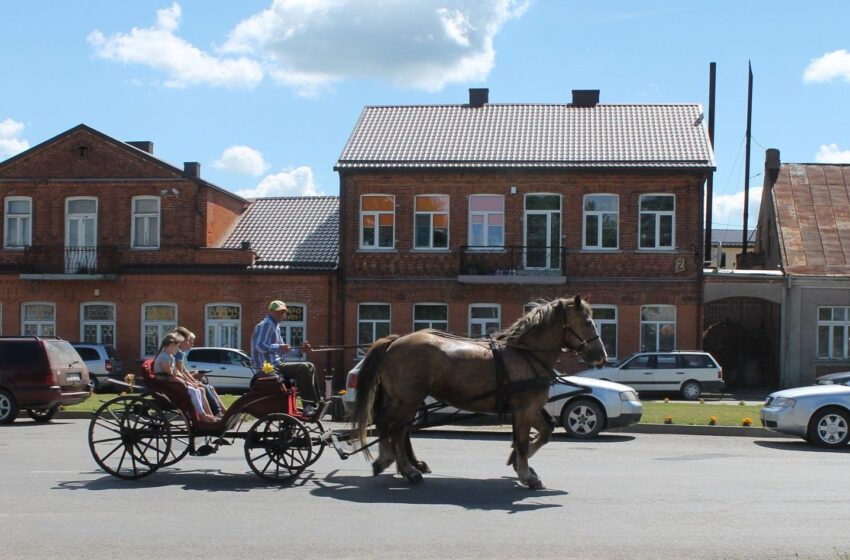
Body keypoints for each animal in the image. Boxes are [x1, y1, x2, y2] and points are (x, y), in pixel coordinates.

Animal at [348, 296, 608, 488]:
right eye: (587, 322)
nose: (602, 356)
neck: (525, 354)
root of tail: (394, 341)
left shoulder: (530, 408)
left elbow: (544, 433)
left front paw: (517, 463)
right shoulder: (525, 409)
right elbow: (523, 441)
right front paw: (526, 474)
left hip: (407, 401)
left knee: (398, 429)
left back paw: (403, 465)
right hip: (406, 399)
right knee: (391, 426)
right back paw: (399, 465)